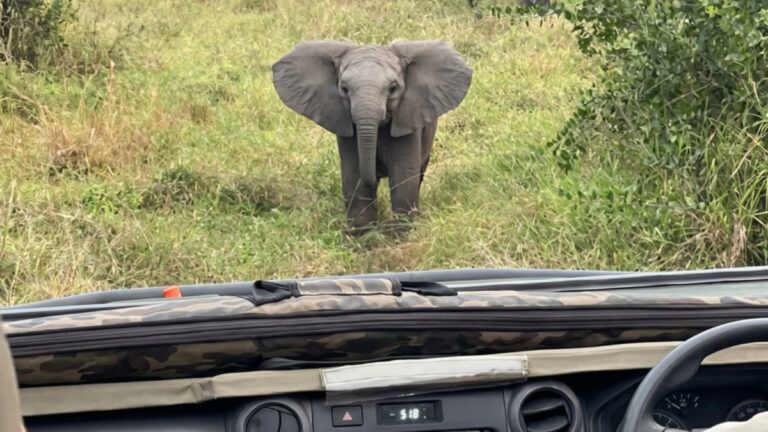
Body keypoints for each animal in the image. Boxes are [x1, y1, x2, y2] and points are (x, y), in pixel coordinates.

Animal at [272, 40, 472, 234]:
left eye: (393, 88)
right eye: (344, 89)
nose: (377, 175)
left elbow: (403, 177)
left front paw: (400, 236)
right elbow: (354, 176)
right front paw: (364, 236)